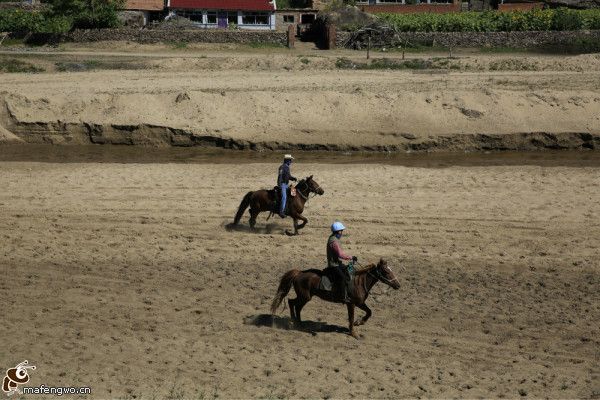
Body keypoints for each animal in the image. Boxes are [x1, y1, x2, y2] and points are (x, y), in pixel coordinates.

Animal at [270, 260, 400, 338]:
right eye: (386, 271)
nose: (398, 285)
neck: (359, 282)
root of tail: (299, 273)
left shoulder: (360, 302)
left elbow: (369, 312)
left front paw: (359, 322)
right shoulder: (351, 303)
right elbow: (351, 317)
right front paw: (354, 333)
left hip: (305, 297)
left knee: (295, 305)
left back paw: (299, 323)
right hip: (304, 297)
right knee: (292, 303)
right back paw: (295, 322)